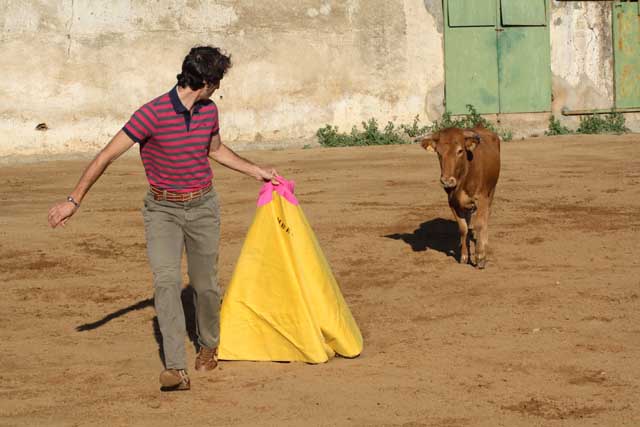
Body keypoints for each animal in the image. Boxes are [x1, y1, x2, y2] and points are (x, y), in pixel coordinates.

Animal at [418, 125, 502, 270]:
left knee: (486, 217)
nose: (447, 181)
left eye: (460, 151)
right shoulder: (452, 202)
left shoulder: (482, 199)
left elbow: (480, 224)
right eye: (438, 152)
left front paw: (480, 257)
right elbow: (463, 228)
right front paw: (463, 256)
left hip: (492, 190)